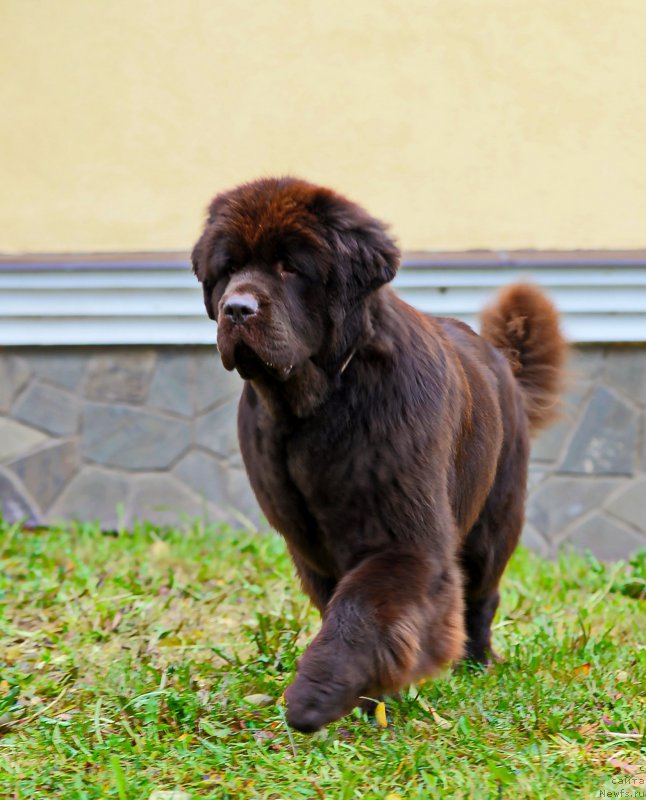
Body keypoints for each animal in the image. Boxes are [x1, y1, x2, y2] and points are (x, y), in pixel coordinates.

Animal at [192, 178, 568, 736]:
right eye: (228, 268)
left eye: (289, 267)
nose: (237, 308)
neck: (316, 407)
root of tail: (502, 362)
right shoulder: (311, 547)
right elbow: (346, 606)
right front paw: (365, 697)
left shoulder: (404, 538)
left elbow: (363, 609)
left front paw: (316, 697)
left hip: (493, 519)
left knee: (482, 594)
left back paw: (476, 662)